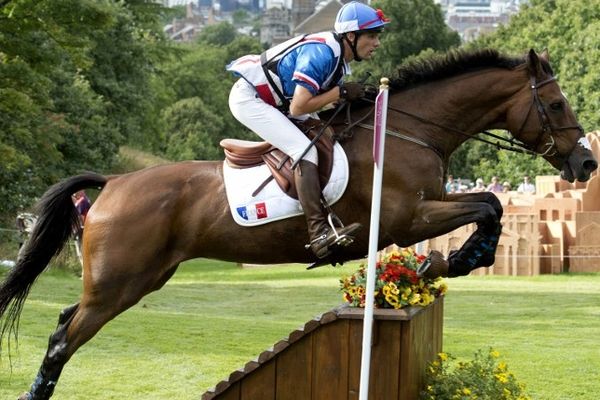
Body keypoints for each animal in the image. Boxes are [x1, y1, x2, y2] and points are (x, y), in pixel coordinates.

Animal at [0, 48, 596, 398]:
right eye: (557, 104)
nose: (586, 164)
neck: (407, 130)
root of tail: (115, 183)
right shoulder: (406, 218)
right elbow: (488, 206)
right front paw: (453, 259)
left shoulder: (423, 209)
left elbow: (488, 206)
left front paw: (448, 262)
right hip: (118, 283)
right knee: (63, 339)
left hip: (135, 280)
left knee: (65, 322)